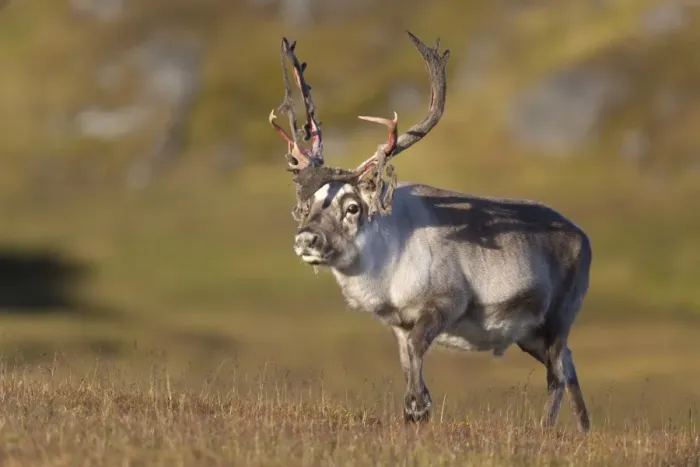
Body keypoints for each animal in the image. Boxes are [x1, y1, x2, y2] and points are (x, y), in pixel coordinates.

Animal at [269, 30, 592, 433]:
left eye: (353, 207)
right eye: (307, 204)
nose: (306, 240)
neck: (387, 264)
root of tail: (585, 238)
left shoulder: (445, 302)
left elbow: (419, 349)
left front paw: (418, 405)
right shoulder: (398, 322)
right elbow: (407, 359)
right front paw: (415, 410)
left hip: (558, 318)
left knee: (558, 372)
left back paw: (546, 427)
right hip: (530, 334)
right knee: (570, 363)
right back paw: (583, 429)